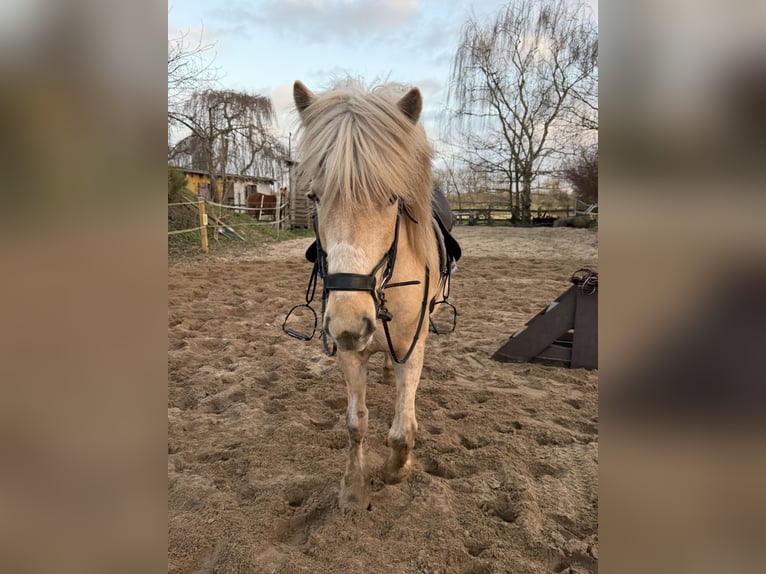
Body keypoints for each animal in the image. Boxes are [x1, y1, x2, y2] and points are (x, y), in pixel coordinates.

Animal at [292, 80, 450, 509]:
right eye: (314, 197)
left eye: (393, 198)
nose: (350, 323)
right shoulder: (349, 350)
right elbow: (355, 423)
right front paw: (353, 487)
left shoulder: (412, 347)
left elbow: (402, 430)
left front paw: (396, 471)